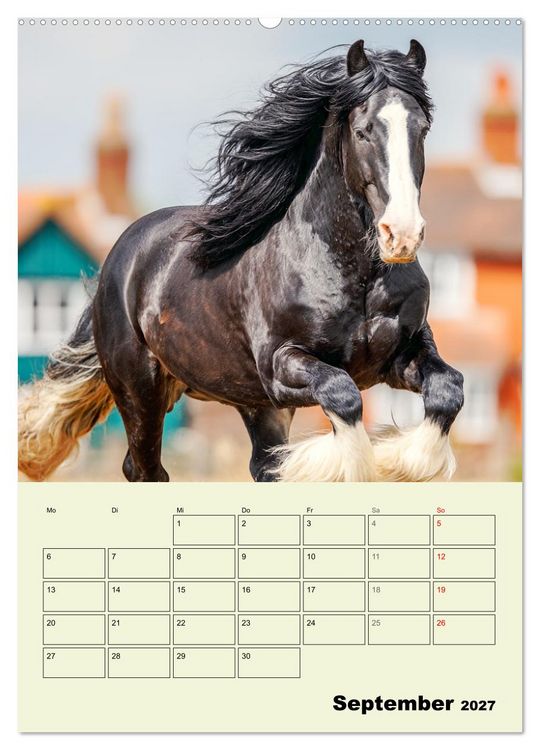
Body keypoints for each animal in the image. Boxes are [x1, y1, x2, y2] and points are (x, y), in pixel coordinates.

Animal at [18, 39, 464, 483]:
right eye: (362, 131)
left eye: (422, 128)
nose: (401, 235)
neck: (350, 273)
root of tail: (119, 256)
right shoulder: (281, 365)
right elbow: (343, 394)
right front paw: (344, 465)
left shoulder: (400, 354)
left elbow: (449, 389)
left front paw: (402, 463)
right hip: (141, 391)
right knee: (144, 468)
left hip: (252, 403)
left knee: (257, 464)